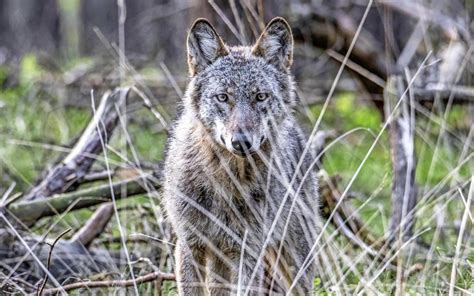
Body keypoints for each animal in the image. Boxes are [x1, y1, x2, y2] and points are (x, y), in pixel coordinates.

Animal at [163, 16, 322, 296]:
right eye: (223, 97)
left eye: (260, 96)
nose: (241, 142)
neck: (226, 182)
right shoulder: (190, 244)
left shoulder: (248, 251)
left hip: (293, 263)